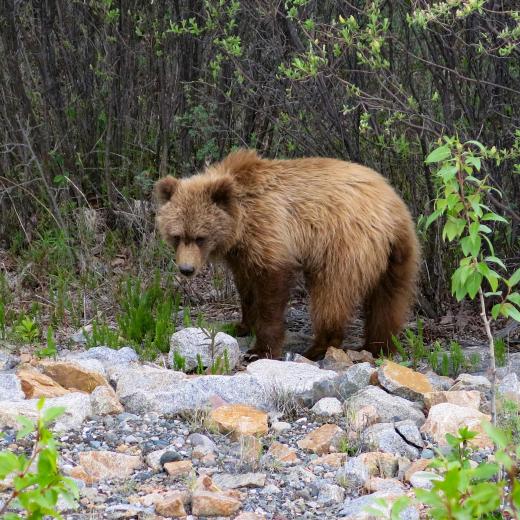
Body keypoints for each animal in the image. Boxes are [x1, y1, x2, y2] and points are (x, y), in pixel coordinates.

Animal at [153, 150, 418, 360]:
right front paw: (241, 325)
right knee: (388, 300)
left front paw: (261, 348)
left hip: (343, 244)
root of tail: (392, 210)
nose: (186, 269)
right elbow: (246, 288)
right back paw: (379, 346)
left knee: (330, 293)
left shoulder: (269, 230)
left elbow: (271, 288)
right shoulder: (243, 252)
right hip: (399, 255)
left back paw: (318, 347)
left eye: (200, 237)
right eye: (177, 235)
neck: (240, 223)